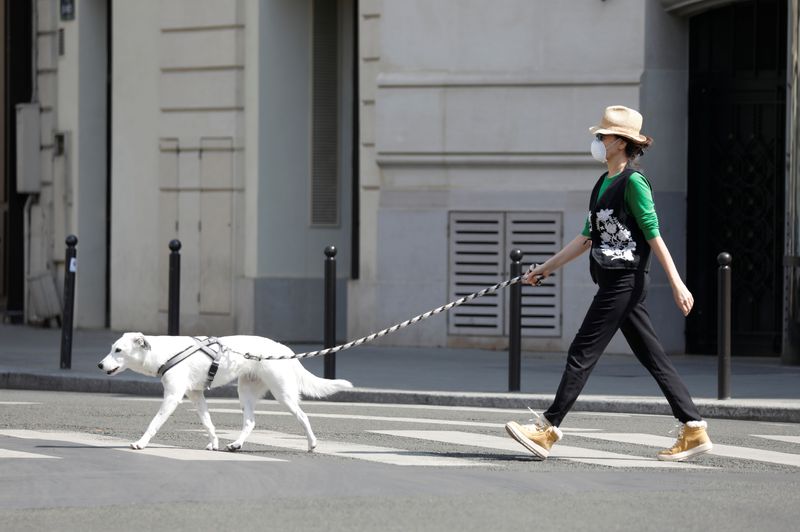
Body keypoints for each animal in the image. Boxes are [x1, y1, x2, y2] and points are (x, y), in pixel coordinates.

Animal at [97, 334, 354, 450]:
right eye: (111, 348)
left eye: (118, 350)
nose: (99, 365)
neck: (163, 353)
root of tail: (284, 349)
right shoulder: (196, 395)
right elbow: (208, 423)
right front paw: (214, 442)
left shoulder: (172, 397)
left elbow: (154, 423)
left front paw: (140, 443)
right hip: (246, 391)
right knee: (250, 421)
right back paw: (236, 444)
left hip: (283, 394)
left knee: (303, 416)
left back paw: (312, 443)